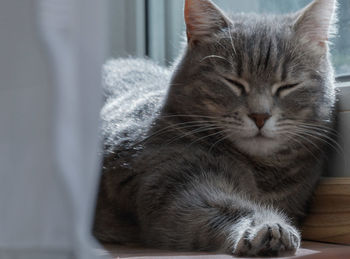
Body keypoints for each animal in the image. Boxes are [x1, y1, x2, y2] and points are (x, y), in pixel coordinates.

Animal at [93, 0, 336, 256]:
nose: (260, 115)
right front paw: (265, 227)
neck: (260, 174)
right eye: (233, 82)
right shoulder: (173, 185)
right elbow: (225, 207)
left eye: (288, 86)